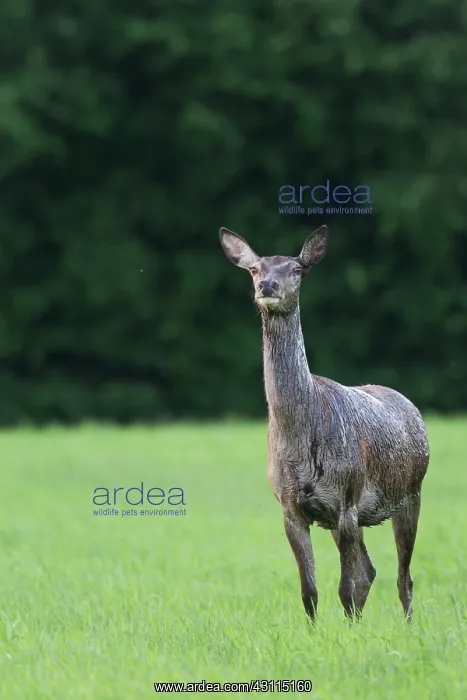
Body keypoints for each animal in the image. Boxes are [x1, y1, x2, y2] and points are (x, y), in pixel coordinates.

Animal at [219, 224, 430, 622]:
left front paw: (348, 634)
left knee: (403, 577)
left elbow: (345, 588)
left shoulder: (345, 498)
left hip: (410, 493)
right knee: (370, 571)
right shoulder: (290, 506)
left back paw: (409, 627)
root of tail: (412, 407)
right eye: (254, 268)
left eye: (297, 269)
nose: (267, 285)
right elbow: (310, 591)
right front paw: (317, 632)